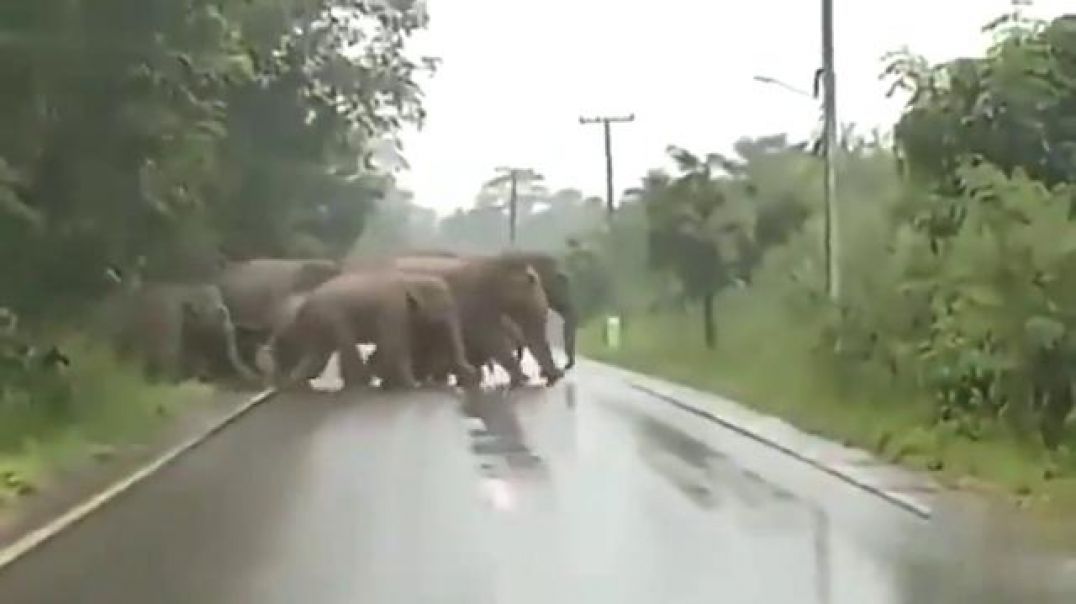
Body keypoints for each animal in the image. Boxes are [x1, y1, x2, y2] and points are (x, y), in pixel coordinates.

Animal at [262, 269, 477, 391]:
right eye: (446, 308)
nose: (473, 374)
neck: (412, 279)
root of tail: (305, 305)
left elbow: (386, 347)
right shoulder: (393, 311)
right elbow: (395, 346)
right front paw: (411, 387)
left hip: (320, 325)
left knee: (318, 354)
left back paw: (294, 384)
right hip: (331, 317)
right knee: (343, 344)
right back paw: (358, 385)